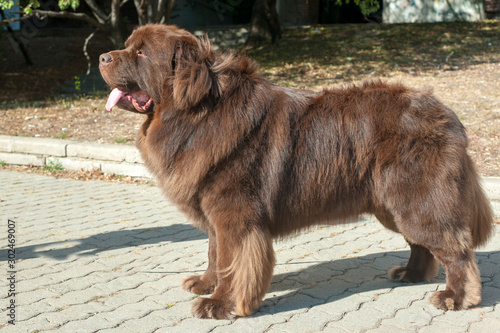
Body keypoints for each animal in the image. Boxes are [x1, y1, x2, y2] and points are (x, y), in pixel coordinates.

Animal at [99, 24, 494, 320]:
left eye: (141, 53)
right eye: (128, 47)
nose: (102, 57)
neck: (196, 113)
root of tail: (447, 113)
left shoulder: (235, 216)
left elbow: (231, 261)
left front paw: (219, 304)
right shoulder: (215, 213)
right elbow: (214, 254)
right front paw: (205, 284)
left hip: (416, 199)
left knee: (455, 249)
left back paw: (456, 297)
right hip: (393, 205)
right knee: (423, 244)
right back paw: (411, 274)